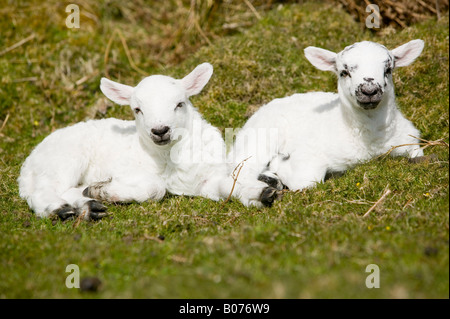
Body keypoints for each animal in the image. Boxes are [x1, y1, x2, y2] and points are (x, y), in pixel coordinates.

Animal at [18, 63, 270, 221]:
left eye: (180, 104)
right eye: (137, 109)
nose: (160, 130)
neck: (168, 159)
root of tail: (27, 165)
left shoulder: (205, 179)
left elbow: (228, 185)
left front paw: (260, 193)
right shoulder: (126, 171)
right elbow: (155, 187)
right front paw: (106, 191)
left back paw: (88, 207)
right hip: (64, 159)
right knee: (43, 191)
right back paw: (61, 209)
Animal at [232, 40, 426, 206]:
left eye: (388, 69)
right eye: (344, 72)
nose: (369, 91)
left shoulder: (410, 142)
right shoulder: (307, 153)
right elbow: (307, 180)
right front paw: (279, 166)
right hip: (259, 139)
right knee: (236, 175)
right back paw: (262, 193)